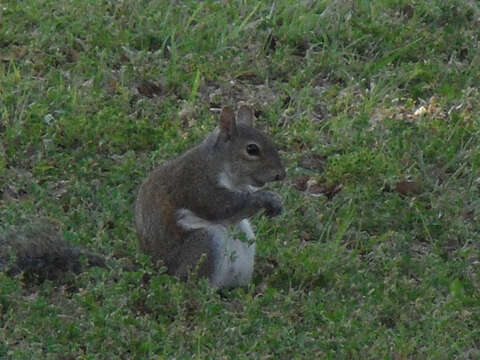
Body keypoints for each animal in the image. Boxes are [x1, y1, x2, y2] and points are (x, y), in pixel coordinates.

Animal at [0, 104, 284, 286]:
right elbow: (220, 206)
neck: (220, 164)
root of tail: (157, 273)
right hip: (204, 245)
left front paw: (275, 202)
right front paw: (265, 199)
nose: (281, 174)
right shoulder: (196, 184)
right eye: (252, 149)